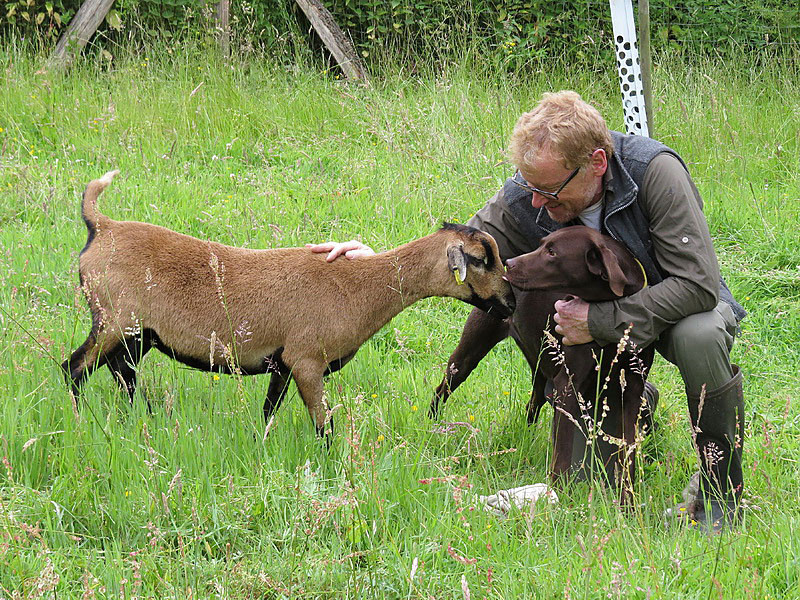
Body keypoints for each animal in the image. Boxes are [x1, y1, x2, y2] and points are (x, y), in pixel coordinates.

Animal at [61, 171, 512, 438]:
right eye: (481, 259)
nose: (509, 301)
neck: (358, 288)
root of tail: (101, 226)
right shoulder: (307, 361)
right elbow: (324, 427)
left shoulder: (281, 363)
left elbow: (268, 412)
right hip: (113, 320)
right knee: (74, 369)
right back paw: (80, 423)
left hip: (137, 334)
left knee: (123, 376)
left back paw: (141, 422)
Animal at [434, 225, 652, 502]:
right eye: (542, 244)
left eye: (552, 252)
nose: (508, 265)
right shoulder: (567, 387)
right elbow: (563, 454)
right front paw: (560, 496)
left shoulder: (631, 392)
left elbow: (627, 457)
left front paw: (628, 503)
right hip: (468, 356)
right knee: (442, 390)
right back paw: (431, 426)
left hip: (541, 368)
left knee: (533, 403)